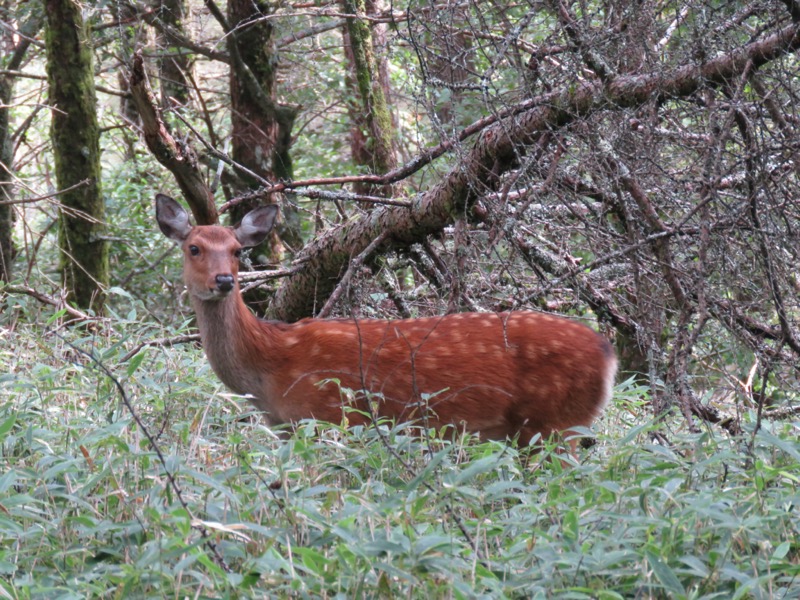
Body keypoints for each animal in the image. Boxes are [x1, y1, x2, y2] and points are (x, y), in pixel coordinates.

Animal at [156, 195, 620, 448]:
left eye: (236, 250)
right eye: (194, 248)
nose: (223, 280)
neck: (270, 366)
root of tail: (609, 354)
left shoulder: (330, 417)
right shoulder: (289, 428)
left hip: (555, 423)